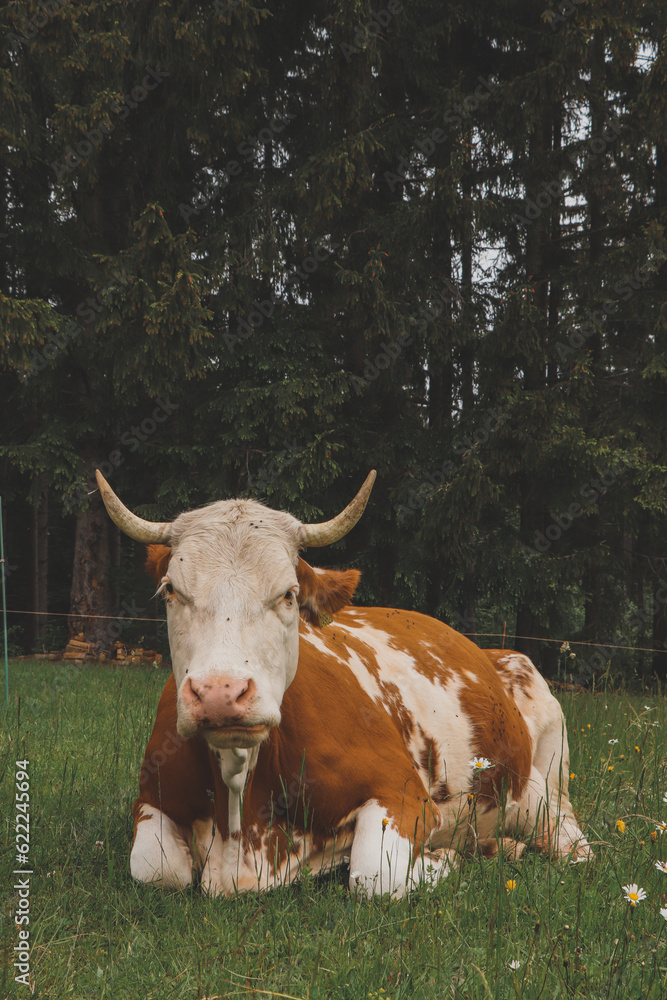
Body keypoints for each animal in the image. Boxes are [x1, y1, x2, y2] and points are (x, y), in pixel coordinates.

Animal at [96, 469, 591, 898]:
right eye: (170, 590)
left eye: (289, 594)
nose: (221, 693)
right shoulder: (152, 800)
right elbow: (157, 869)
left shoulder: (403, 793)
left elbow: (374, 876)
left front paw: (445, 857)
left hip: (544, 785)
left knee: (571, 841)